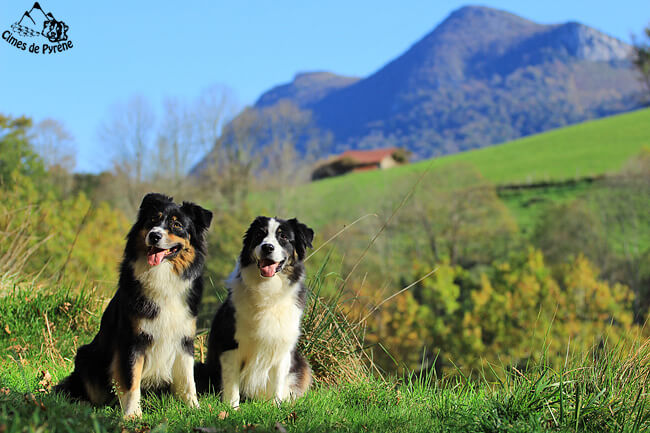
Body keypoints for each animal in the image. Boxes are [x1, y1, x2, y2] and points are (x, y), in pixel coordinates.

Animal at [197, 215, 314, 404]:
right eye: (259, 235)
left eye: (284, 237)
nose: (267, 247)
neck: (267, 289)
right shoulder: (230, 345)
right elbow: (231, 385)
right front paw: (231, 407)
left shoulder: (282, 347)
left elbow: (277, 383)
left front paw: (275, 406)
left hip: (301, 364)